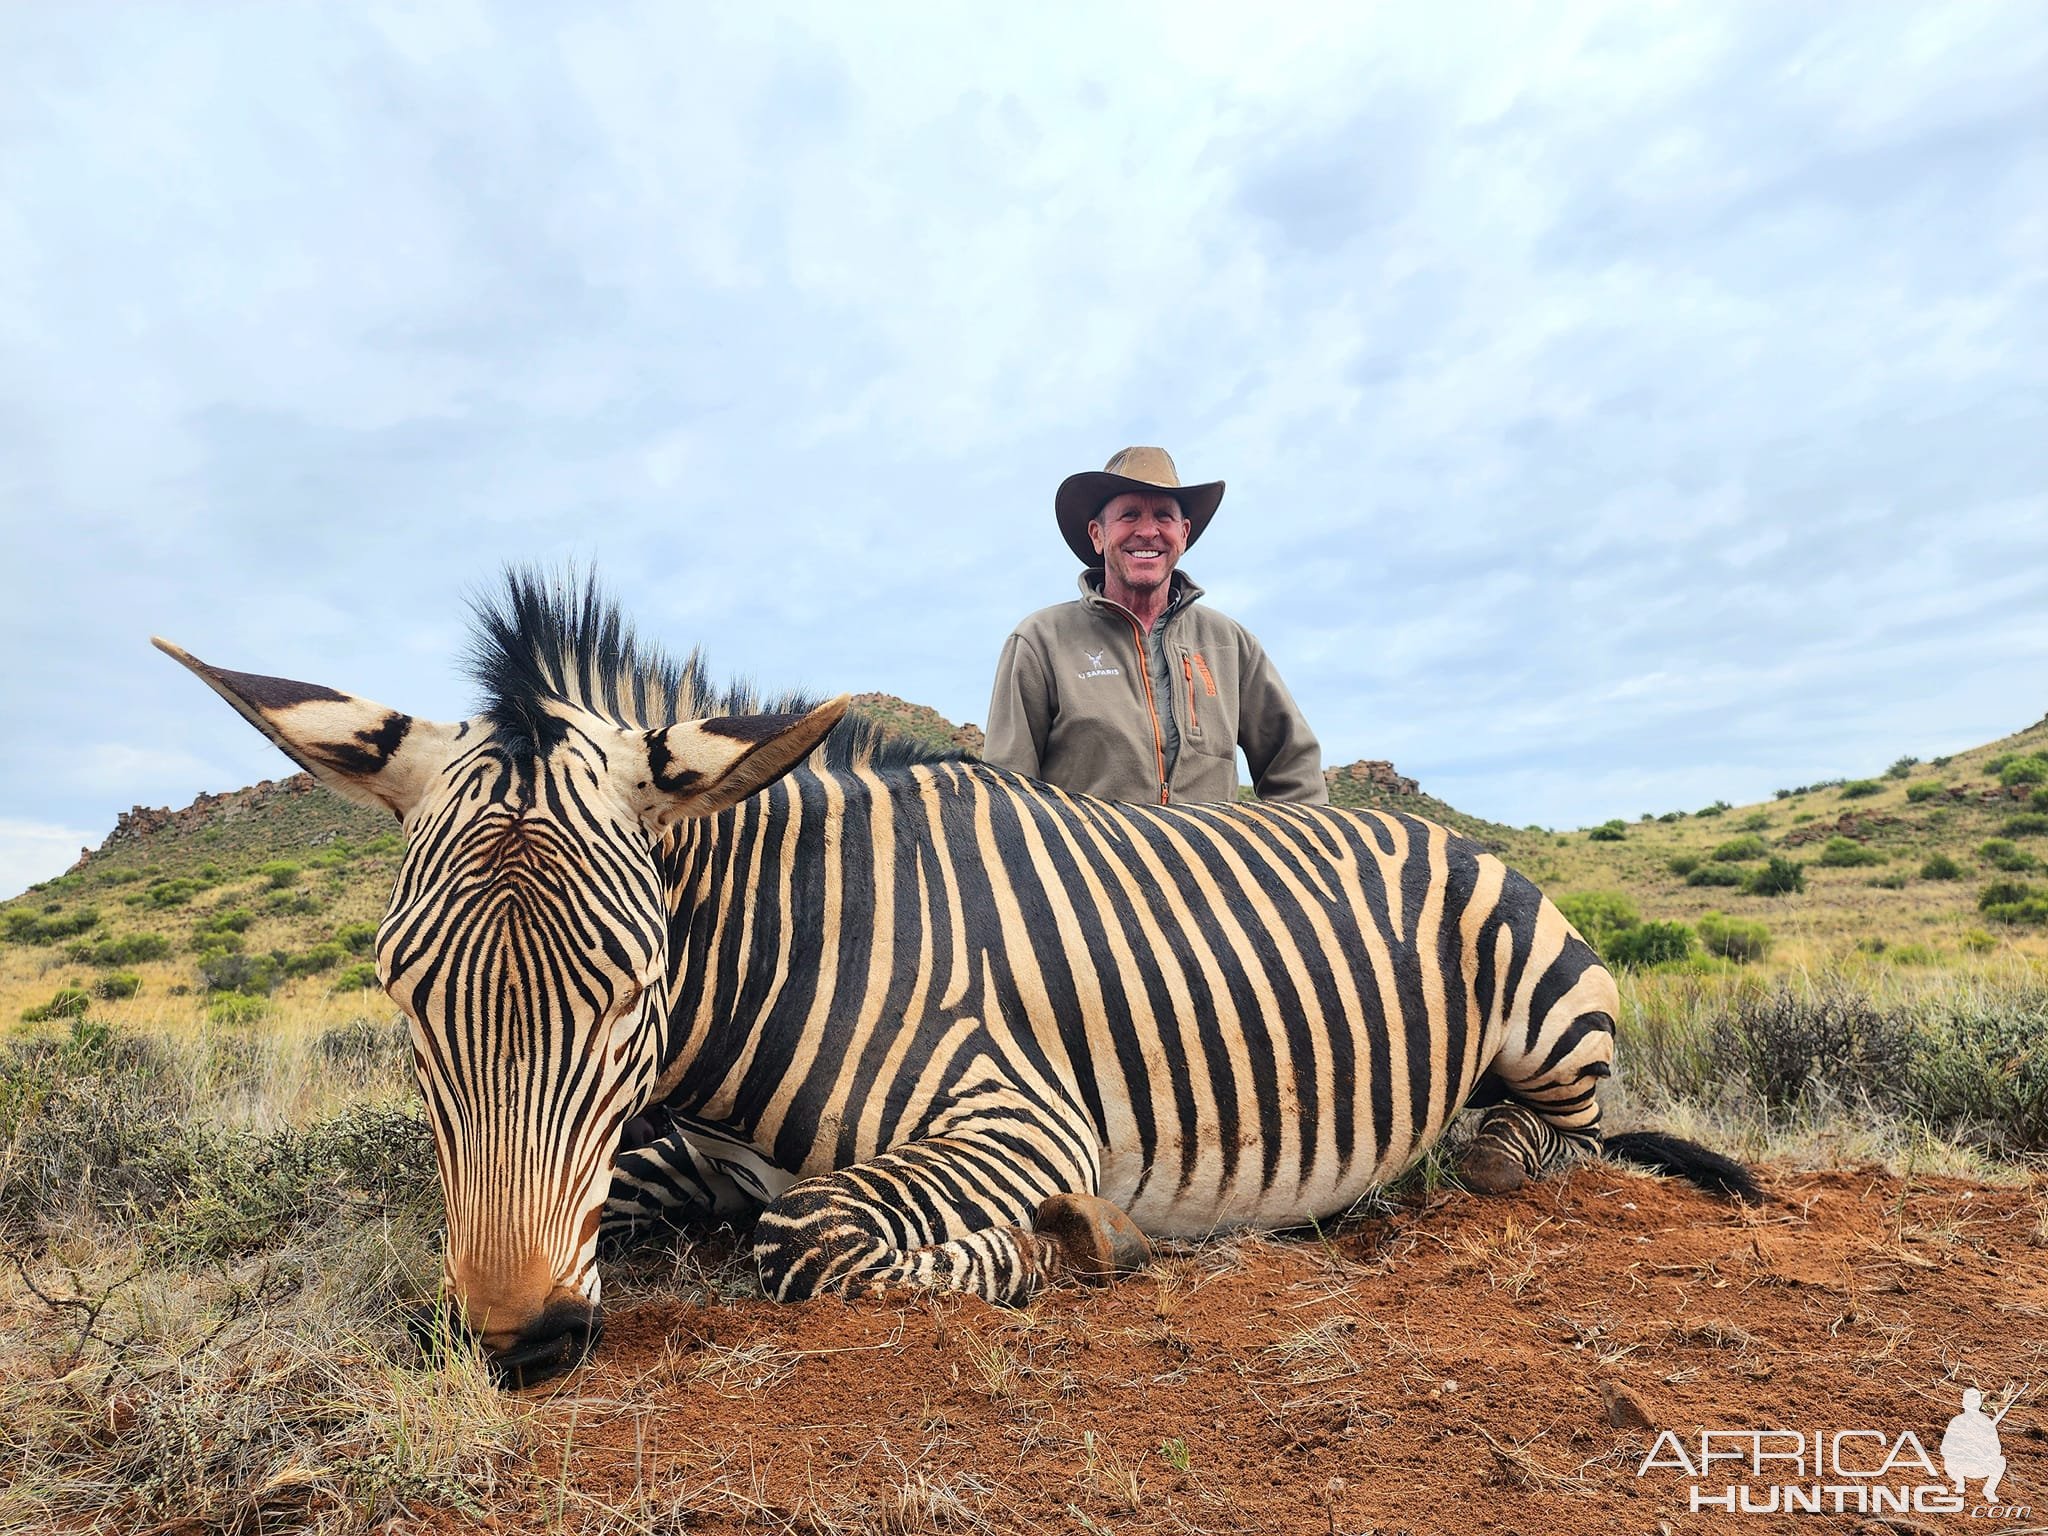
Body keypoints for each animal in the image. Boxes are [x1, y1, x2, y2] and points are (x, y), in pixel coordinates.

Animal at [163, 573, 1761, 1392]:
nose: (521, 1342)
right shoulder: (678, 1148)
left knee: (1526, 1146)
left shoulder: (1019, 1120)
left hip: (1544, 1026)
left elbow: (809, 1233)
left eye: (630, 988)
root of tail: (1430, 827)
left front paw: (1069, 1246)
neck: (787, 951)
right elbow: (647, 1192)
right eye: (403, 998)